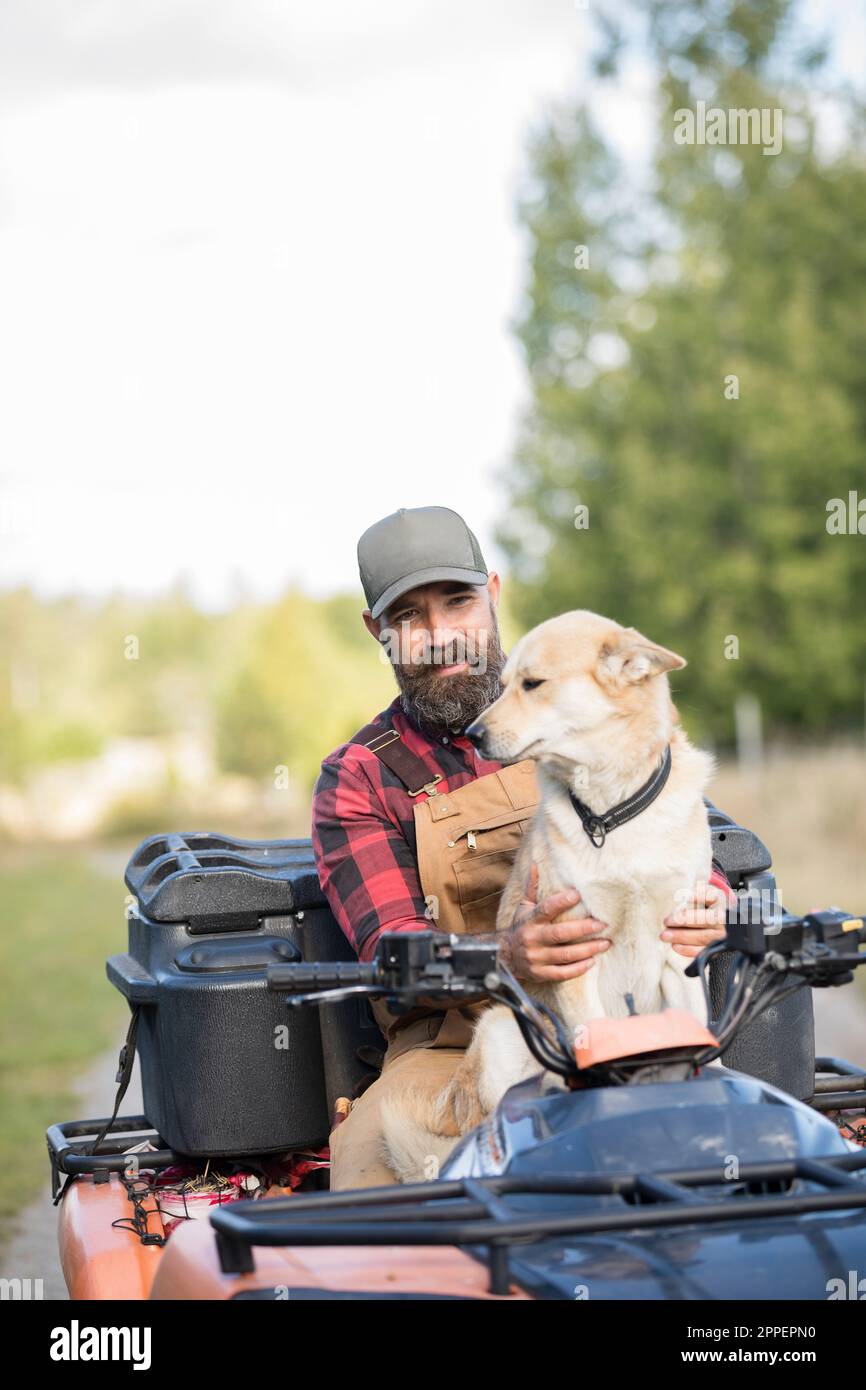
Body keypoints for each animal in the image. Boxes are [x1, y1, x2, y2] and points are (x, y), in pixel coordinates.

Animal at [383, 611, 717, 1184]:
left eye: (533, 683)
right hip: (501, 1035)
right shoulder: (577, 956)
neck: (613, 816)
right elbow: (594, 1039)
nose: (473, 735)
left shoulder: (679, 954)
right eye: (505, 682)